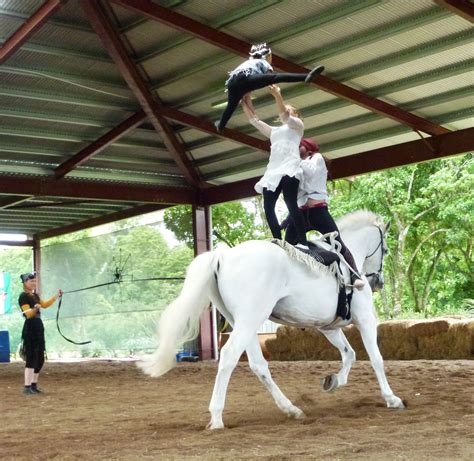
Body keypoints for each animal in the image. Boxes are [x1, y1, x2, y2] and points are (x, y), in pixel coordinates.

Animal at [139, 210, 406, 430]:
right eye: (385, 250)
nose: (378, 282)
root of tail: (223, 256)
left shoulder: (328, 327)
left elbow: (349, 354)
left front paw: (333, 381)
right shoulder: (364, 319)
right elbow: (376, 358)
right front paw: (391, 398)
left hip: (242, 323)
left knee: (258, 365)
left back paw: (291, 409)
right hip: (249, 320)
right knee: (229, 356)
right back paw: (216, 418)